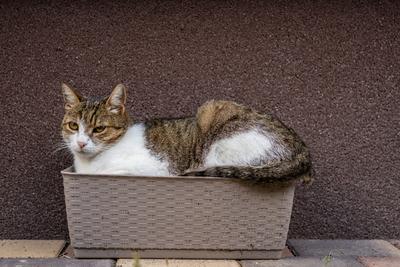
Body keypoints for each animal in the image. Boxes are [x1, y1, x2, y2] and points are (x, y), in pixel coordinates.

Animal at [61, 84, 314, 184]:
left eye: (99, 129)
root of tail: (303, 149)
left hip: (215, 125)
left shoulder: (157, 168)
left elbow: (115, 171)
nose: (81, 143)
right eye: (73, 126)